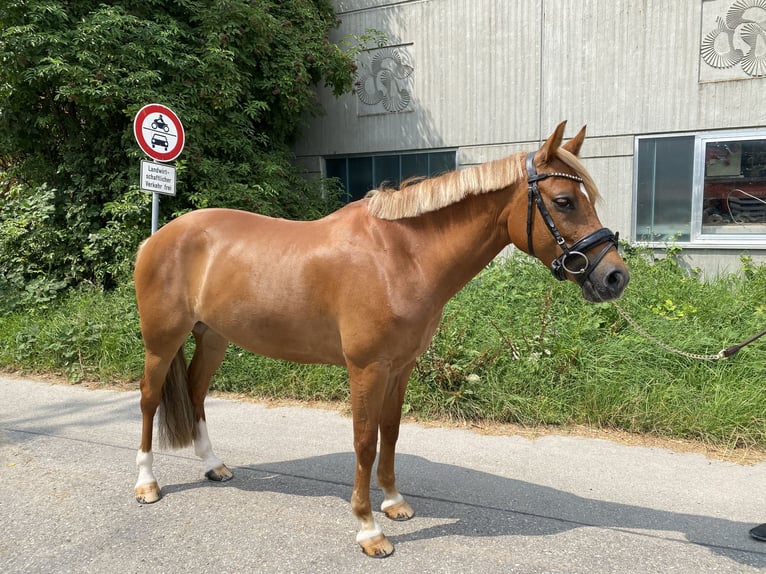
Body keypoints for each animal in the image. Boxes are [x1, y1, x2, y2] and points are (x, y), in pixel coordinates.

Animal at [133, 121, 629, 558]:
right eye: (564, 201)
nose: (614, 276)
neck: (399, 256)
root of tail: (158, 238)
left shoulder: (400, 366)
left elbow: (390, 432)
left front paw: (393, 503)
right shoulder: (367, 368)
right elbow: (364, 441)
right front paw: (369, 530)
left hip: (213, 338)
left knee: (195, 393)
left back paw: (213, 466)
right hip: (161, 342)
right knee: (150, 399)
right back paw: (146, 484)